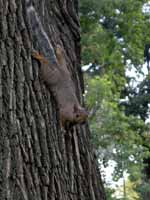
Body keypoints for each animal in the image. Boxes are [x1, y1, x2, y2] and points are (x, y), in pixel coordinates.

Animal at [24, 0, 88, 128]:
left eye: (86, 115)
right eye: (79, 116)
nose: (83, 123)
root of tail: (56, 66)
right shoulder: (65, 111)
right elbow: (62, 118)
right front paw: (63, 127)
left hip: (64, 67)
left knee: (60, 58)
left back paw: (59, 49)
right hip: (49, 74)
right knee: (44, 63)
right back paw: (39, 56)